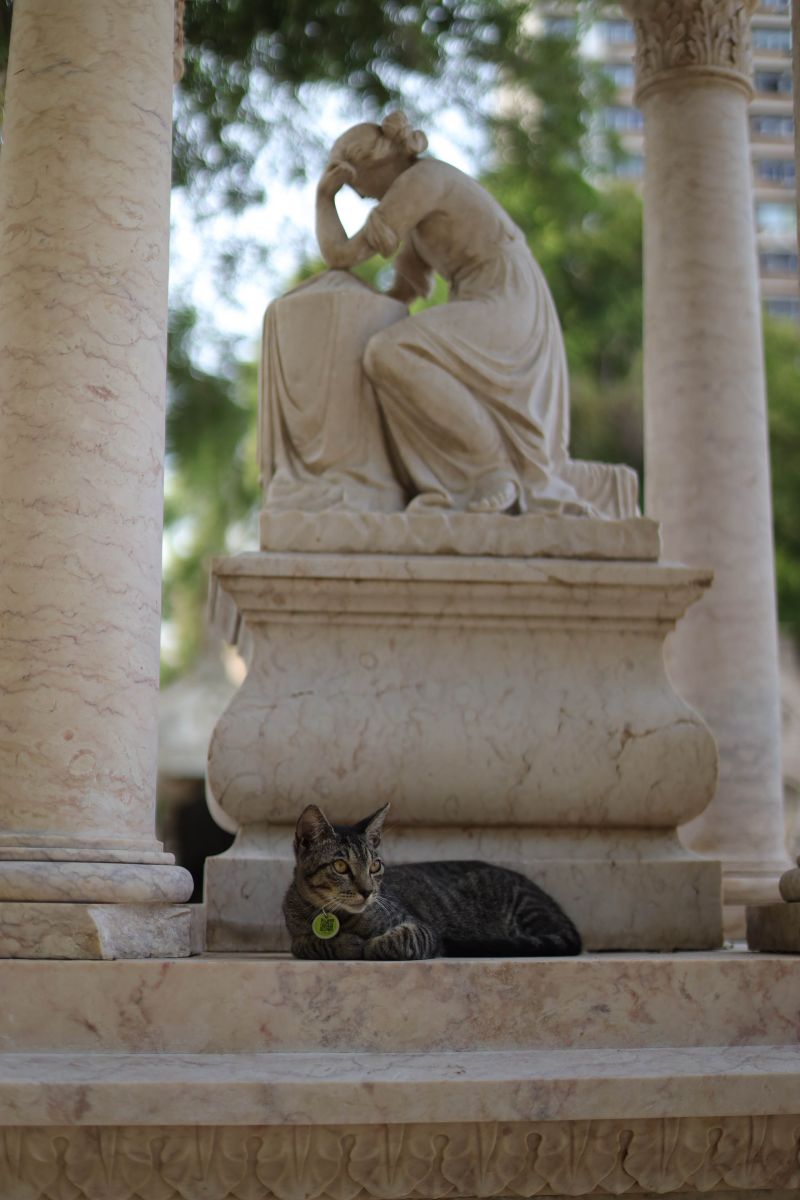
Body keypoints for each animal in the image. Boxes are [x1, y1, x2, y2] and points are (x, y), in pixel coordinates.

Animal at [283, 801, 582, 960]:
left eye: (375, 866)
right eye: (341, 866)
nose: (368, 892)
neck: (340, 917)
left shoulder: (423, 929)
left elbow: (399, 939)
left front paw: (371, 944)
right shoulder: (296, 939)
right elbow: (309, 943)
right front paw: (345, 943)